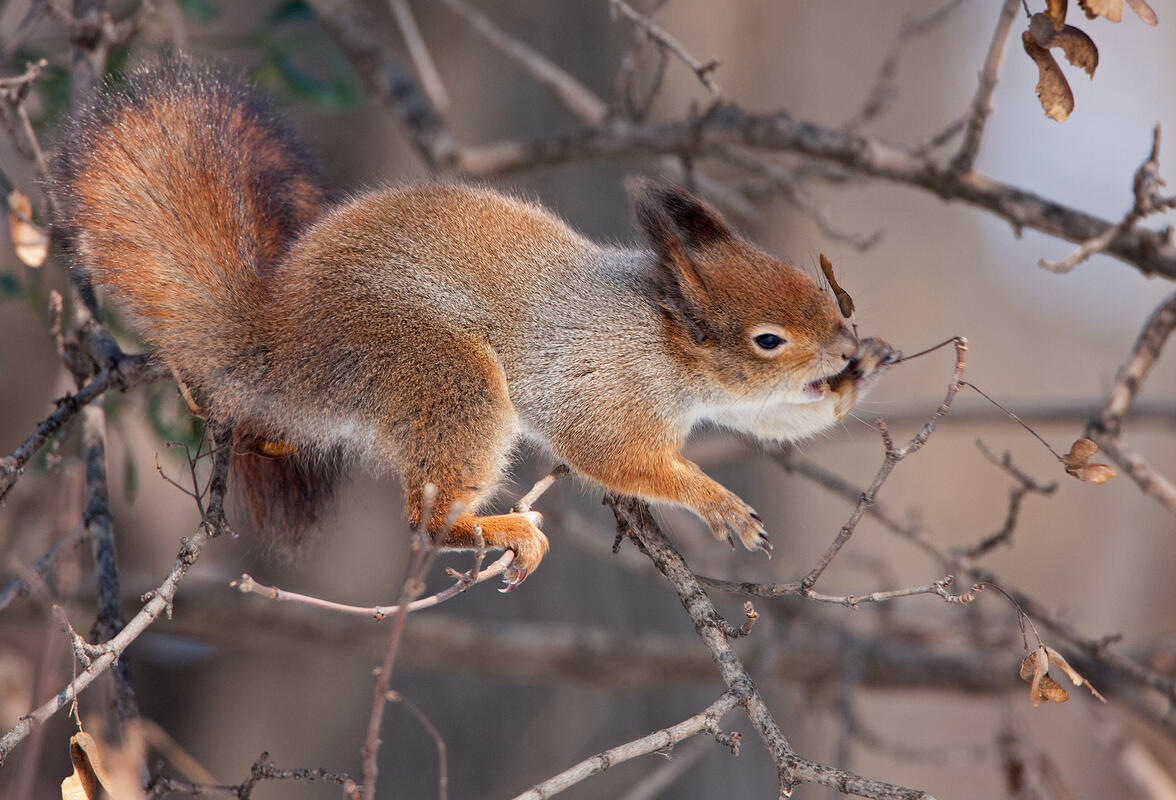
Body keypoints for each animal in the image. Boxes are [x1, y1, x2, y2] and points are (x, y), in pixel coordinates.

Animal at [51, 61, 895, 588]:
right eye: (767, 340)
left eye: (815, 291)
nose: (845, 349)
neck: (660, 336)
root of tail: (277, 344)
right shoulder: (603, 384)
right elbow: (615, 457)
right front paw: (719, 505)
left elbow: (780, 422)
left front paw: (867, 372)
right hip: (443, 373)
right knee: (426, 522)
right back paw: (492, 531)